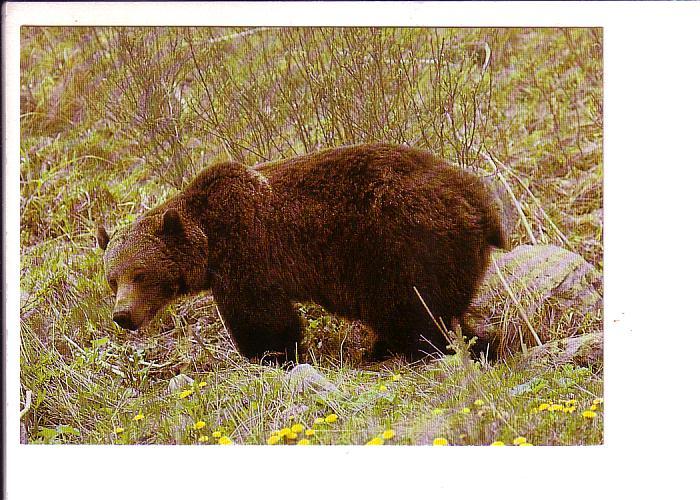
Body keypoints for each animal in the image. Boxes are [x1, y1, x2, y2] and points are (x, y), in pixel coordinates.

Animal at [97, 145, 504, 364]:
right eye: (112, 280)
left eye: (140, 274)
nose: (122, 315)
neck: (208, 241)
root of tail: (481, 201)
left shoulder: (246, 252)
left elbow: (263, 318)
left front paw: (271, 356)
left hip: (403, 240)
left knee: (413, 311)